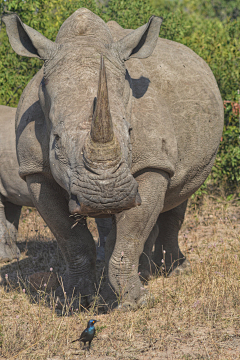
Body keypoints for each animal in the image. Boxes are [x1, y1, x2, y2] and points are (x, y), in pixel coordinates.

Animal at [2, 7, 223, 306]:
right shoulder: (35, 170)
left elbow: (130, 235)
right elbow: (72, 240)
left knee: (180, 193)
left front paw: (133, 301)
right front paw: (75, 299)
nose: (107, 197)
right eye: (56, 141)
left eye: (130, 132)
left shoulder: (153, 163)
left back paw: (172, 270)